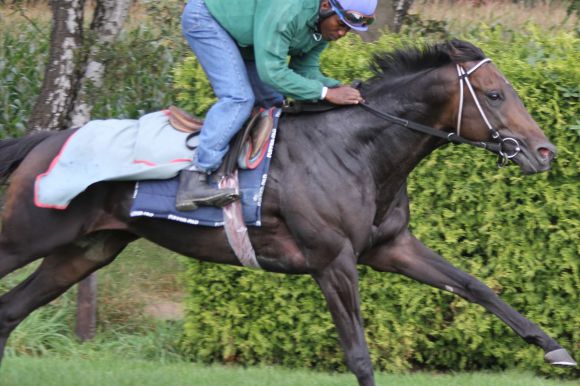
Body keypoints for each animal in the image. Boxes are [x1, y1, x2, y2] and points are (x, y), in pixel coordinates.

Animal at [0, 39, 576, 382]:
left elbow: (476, 287)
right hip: (27, 234)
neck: (356, 151)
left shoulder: (390, 247)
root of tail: (47, 139)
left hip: (85, 251)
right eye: (495, 94)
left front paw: (554, 348)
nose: (544, 151)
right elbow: (358, 352)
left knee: (9, 311)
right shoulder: (332, 260)